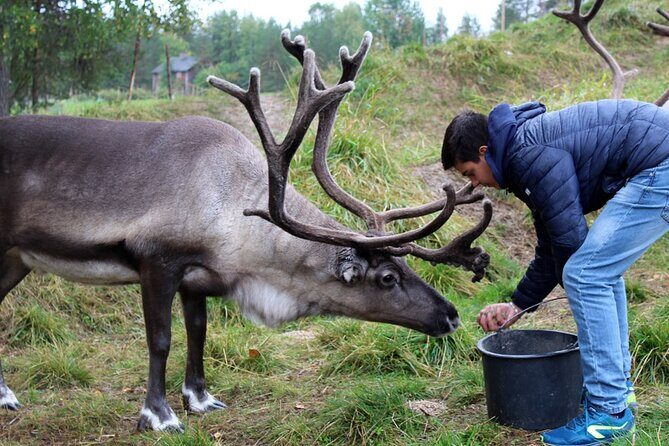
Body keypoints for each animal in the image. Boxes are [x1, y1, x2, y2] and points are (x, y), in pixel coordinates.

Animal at [0, 31, 492, 432]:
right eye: (387, 278)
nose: (452, 315)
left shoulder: (198, 278)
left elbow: (198, 332)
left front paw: (200, 398)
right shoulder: (157, 260)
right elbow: (161, 340)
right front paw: (159, 415)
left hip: (15, 258)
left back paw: (6, 395)